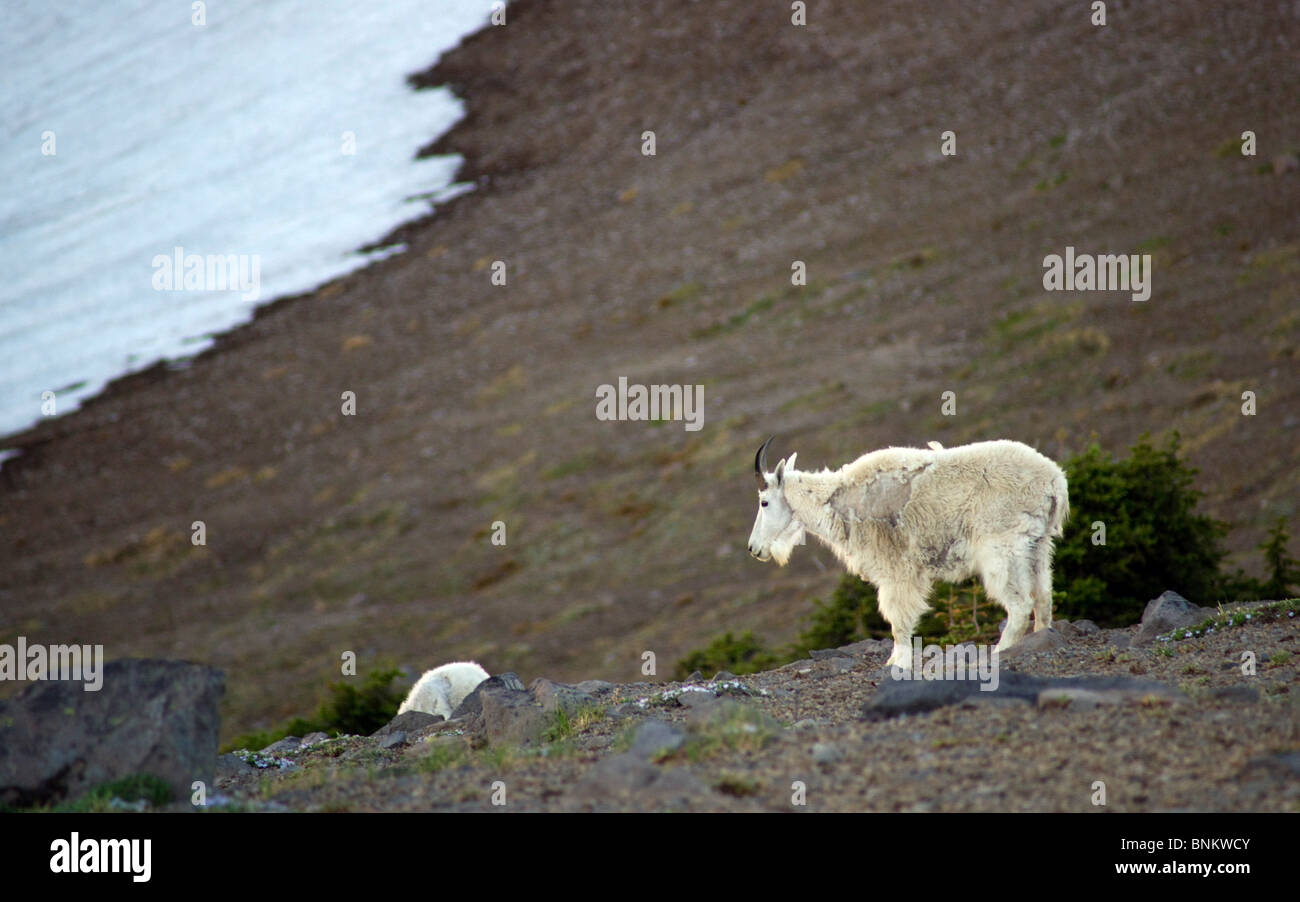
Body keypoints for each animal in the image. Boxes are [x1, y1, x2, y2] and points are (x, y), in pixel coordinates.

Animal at [748, 439, 1071, 670]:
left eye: (764, 502)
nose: (753, 549)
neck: (838, 501)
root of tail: (1055, 482)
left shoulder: (897, 569)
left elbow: (898, 618)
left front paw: (897, 662)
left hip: (1003, 550)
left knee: (1019, 604)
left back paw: (1001, 651)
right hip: (1039, 545)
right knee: (1043, 596)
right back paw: (1040, 637)